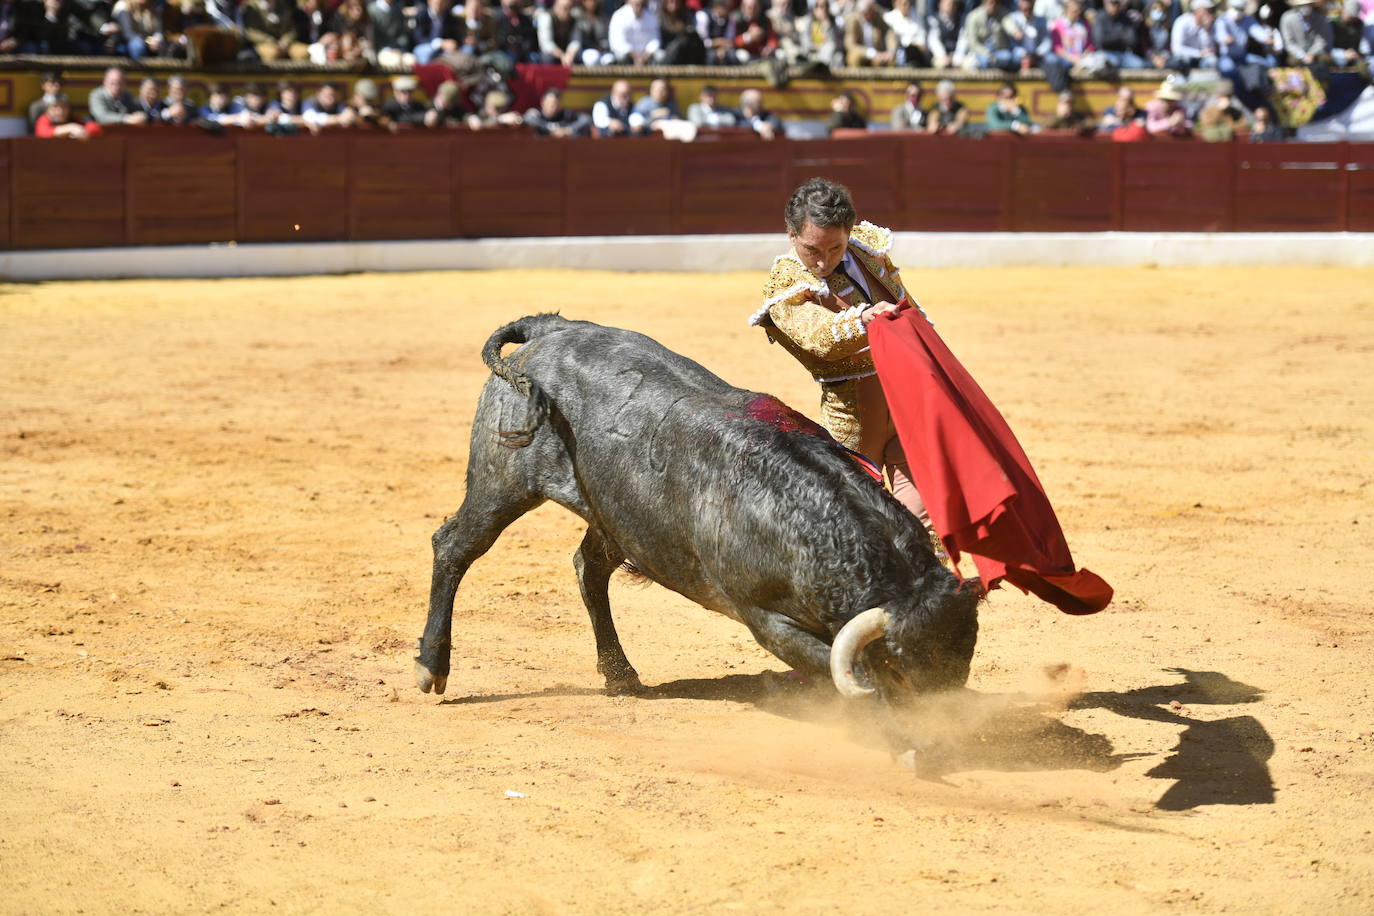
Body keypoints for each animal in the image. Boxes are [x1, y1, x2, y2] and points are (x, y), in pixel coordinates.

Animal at [412, 315, 983, 708]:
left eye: (964, 661)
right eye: (904, 670)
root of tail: (552, 328)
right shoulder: (764, 619)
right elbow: (840, 670)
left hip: (616, 516)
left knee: (588, 569)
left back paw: (620, 675)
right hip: (503, 479)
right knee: (455, 546)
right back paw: (431, 666)